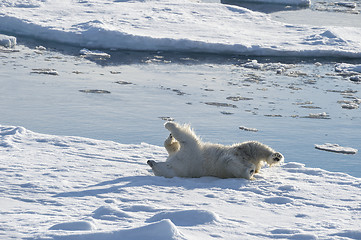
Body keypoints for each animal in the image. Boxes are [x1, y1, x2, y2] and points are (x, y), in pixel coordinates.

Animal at [146, 122, 282, 180]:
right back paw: (250, 170)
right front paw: (169, 124)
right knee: (232, 161)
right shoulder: (187, 156)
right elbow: (186, 138)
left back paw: (276, 156)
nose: (149, 161)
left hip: (240, 149)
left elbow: (172, 147)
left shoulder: (179, 157)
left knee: (254, 146)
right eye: (155, 169)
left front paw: (170, 136)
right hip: (226, 166)